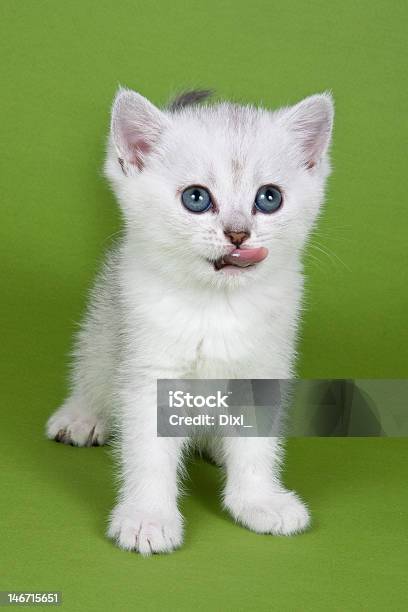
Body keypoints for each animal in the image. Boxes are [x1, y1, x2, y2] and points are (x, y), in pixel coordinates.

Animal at [47, 87, 334, 556]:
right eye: (196, 198)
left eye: (268, 198)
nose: (238, 233)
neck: (217, 306)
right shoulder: (148, 365)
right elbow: (148, 451)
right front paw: (148, 517)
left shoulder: (264, 368)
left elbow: (256, 444)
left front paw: (259, 500)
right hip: (105, 324)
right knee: (92, 368)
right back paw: (82, 415)